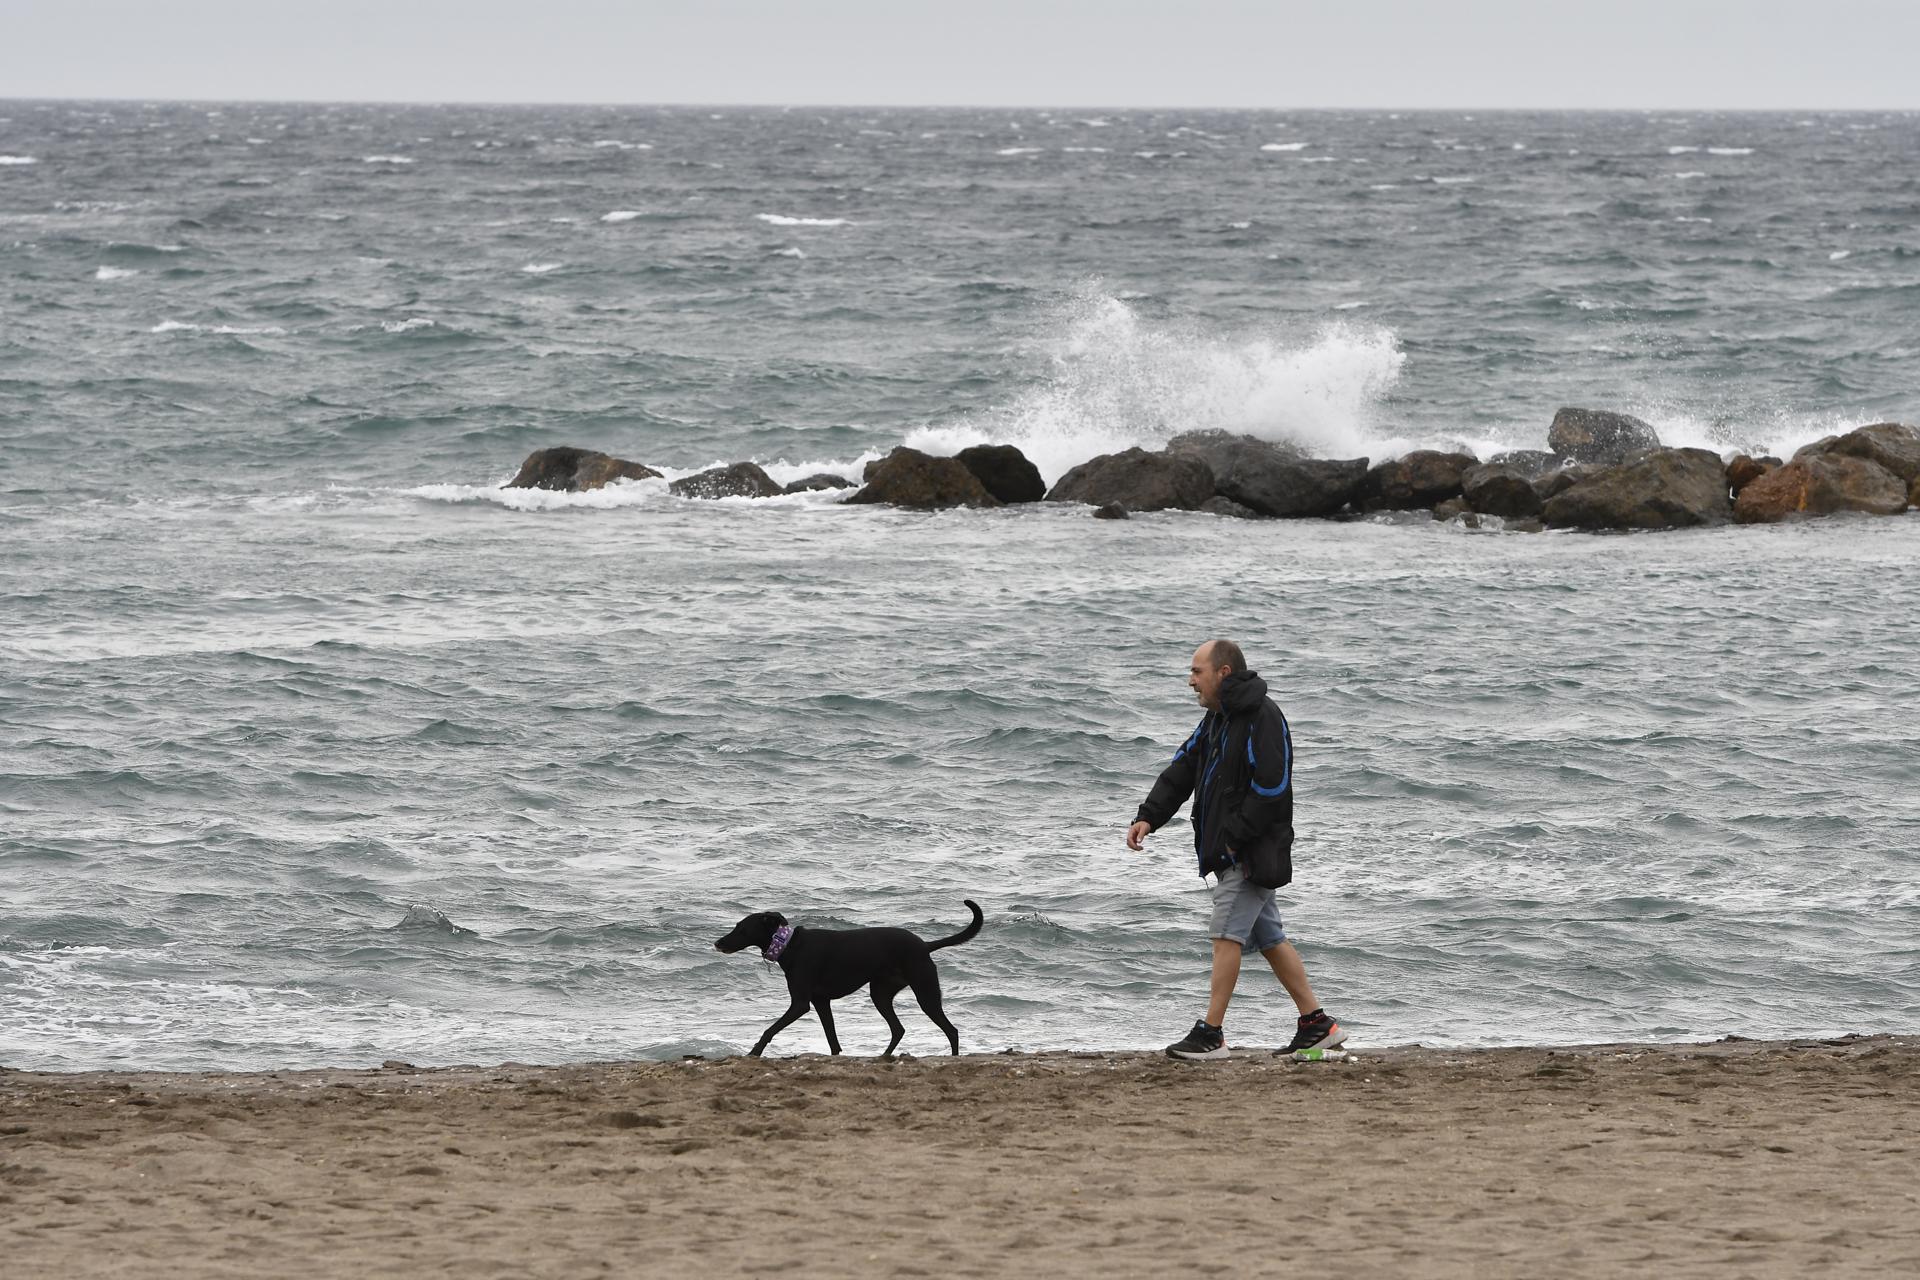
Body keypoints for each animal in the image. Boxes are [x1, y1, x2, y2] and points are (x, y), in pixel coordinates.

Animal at [721, 898, 990, 1059]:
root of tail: (925, 946)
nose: (717, 943)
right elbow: (831, 1037)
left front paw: (755, 1051)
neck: (789, 945)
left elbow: (770, 1029)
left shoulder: (800, 1004)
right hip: (881, 994)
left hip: (925, 993)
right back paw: (884, 1057)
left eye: (742, 929)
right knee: (898, 1029)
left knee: (951, 1030)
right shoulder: (821, 1002)